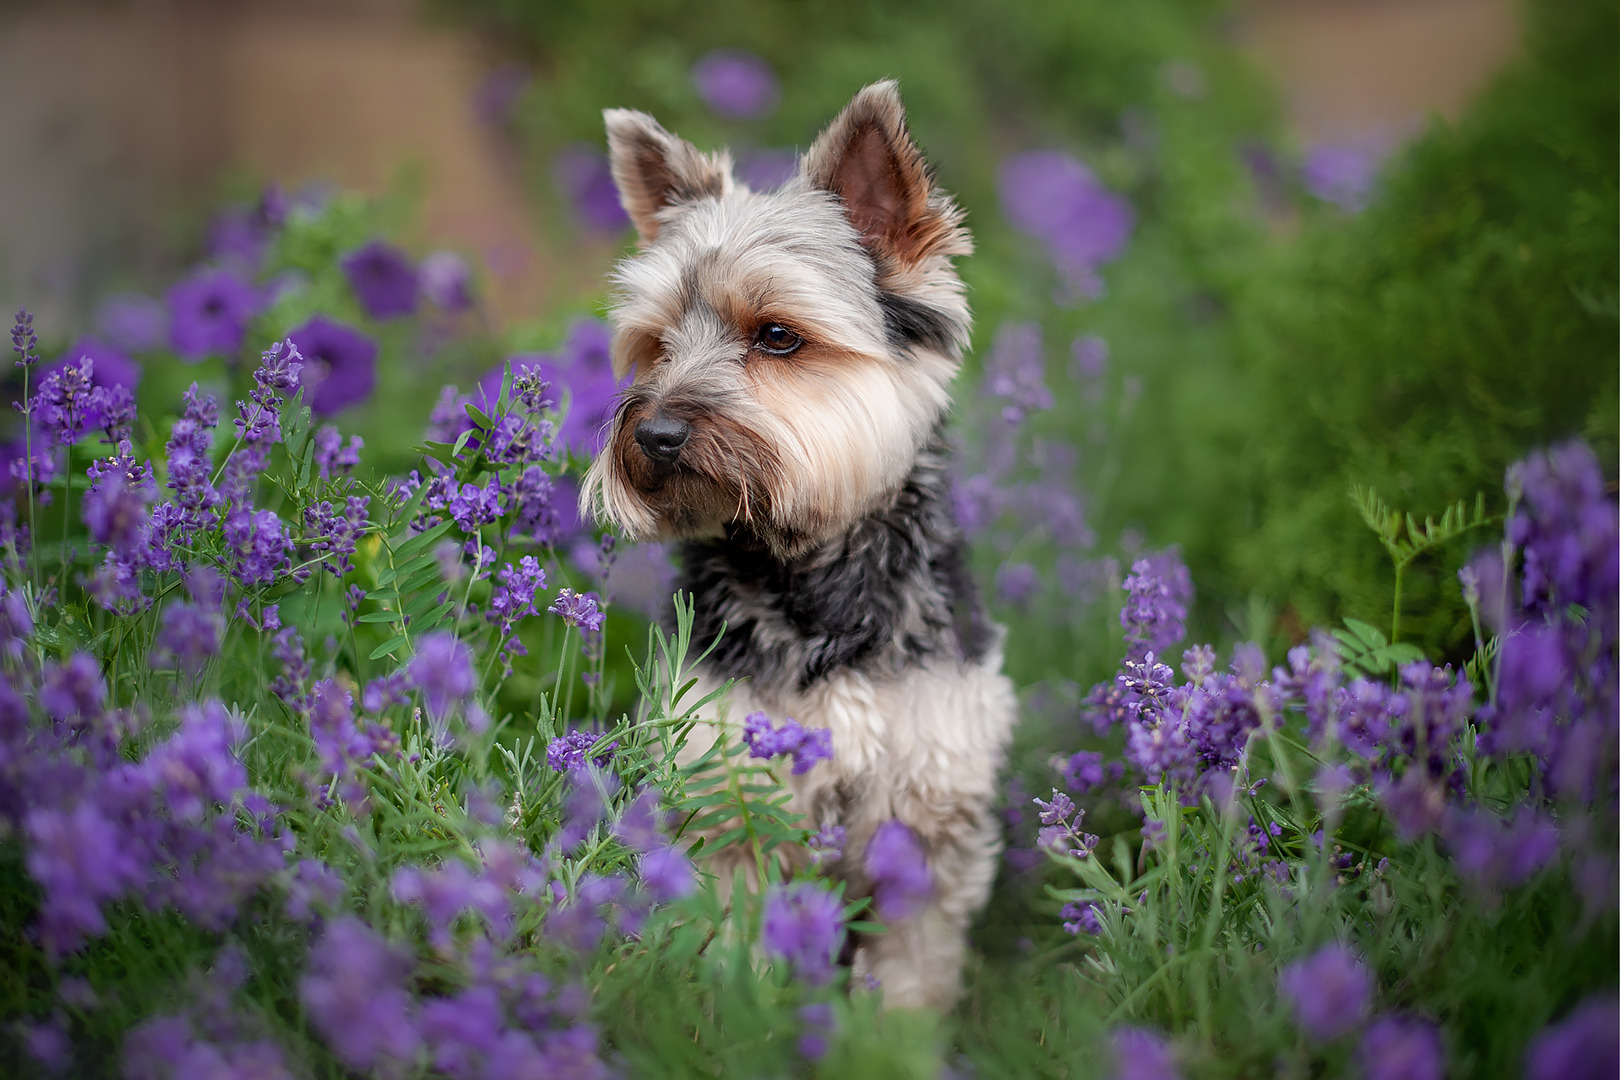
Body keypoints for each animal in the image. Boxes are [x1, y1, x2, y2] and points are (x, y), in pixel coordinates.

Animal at [583, 80, 1010, 1010]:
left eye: (777, 336)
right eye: (656, 344)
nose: (656, 434)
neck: (813, 581)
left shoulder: (928, 814)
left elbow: (912, 968)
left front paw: (892, 1032)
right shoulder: (731, 803)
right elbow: (734, 943)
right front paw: (745, 1014)